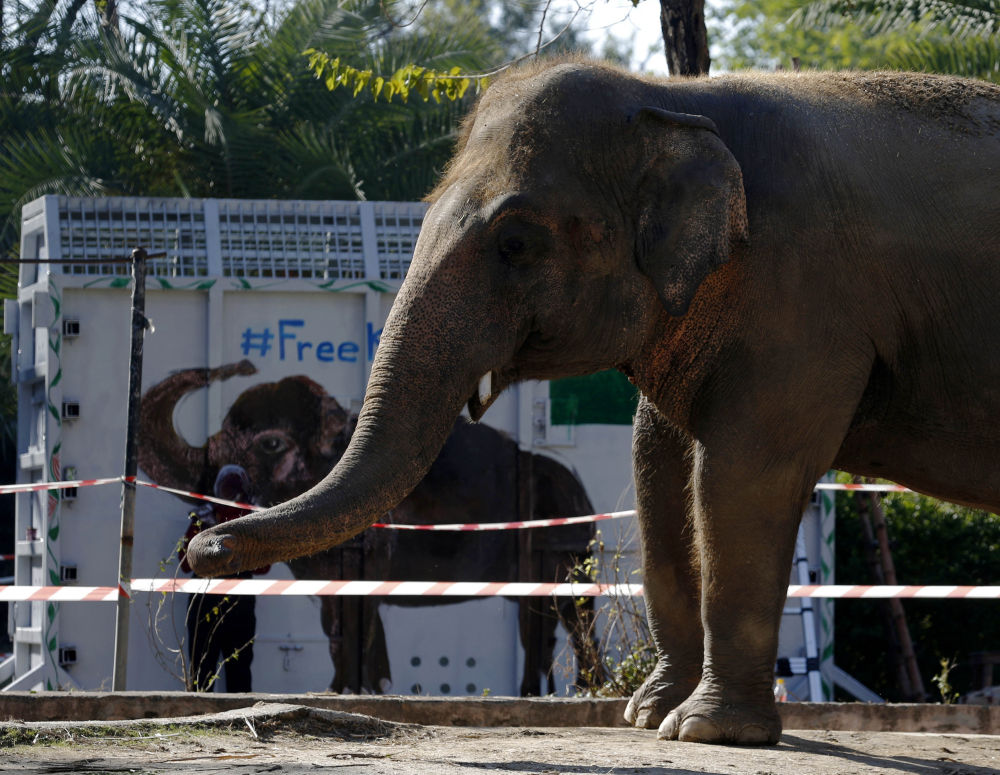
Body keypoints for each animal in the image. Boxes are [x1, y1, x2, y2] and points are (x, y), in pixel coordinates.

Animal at [138, 364, 604, 696]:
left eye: (271, 443)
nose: (213, 523)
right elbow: (343, 617)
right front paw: (361, 687)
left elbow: (349, 613)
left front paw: (345, 689)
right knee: (539, 624)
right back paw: (544, 692)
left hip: (569, 553)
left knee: (571, 615)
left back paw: (584, 690)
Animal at [186, 57, 1000, 748]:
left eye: (515, 242)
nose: (202, 547)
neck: (678, 98)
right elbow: (657, 469)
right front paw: (646, 716)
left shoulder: (805, 299)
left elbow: (742, 477)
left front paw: (707, 731)